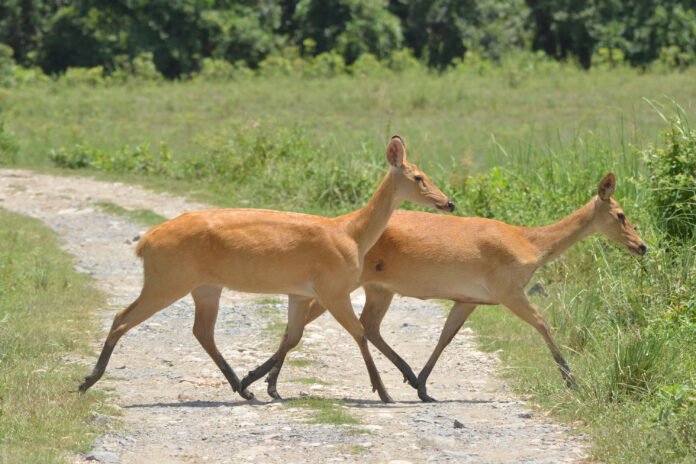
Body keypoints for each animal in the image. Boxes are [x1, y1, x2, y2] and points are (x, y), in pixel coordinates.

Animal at [78, 136, 455, 404]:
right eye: (419, 176)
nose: (448, 202)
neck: (351, 234)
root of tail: (145, 242)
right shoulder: (333, 287)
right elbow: (360, 333)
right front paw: (385, 392)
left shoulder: (300, 293)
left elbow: (293, 336)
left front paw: (266, 384)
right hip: (168, 279)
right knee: (122, 317)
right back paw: (88, 380)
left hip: (204, 286)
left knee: (201, 331)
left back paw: (244, 390)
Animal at [263, 173, 646, 402]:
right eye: (621, 214)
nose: (642, 246)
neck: (532, 245)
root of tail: (340, 227)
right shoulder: (508, 289)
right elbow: (543, 324)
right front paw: (573, 381)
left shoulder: (470, 298)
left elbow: (447, 335)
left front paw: (423, 385)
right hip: (347, 281)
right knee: (314, 322)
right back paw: (265, 381)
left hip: (378, 287)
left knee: (363, 325)